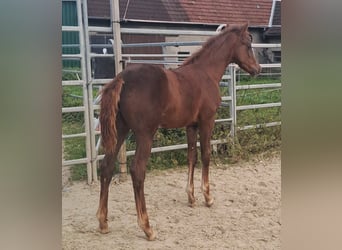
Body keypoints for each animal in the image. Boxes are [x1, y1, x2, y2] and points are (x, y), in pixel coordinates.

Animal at [95, 23, 260, 240]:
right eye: (248, 45)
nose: (258, 69)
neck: (206, 73)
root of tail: (122, 78)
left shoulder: (191, 125)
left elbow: (192, 157)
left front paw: (191, 197)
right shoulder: (207, 121)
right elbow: (206, 155)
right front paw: (208, 197)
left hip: (121, 130)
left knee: (106, 166)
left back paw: (103, 222)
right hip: (145, 134)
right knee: (137, 171)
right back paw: (147, 227)